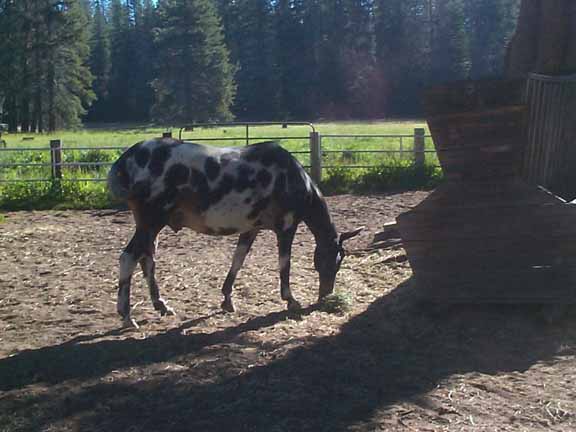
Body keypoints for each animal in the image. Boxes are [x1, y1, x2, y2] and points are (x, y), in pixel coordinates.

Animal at [108, 138, 363, 328]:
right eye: (334, 262)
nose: (325, 297)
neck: (293, 178)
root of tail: (127, 159)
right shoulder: (286, 227)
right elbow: (285, 265)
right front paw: (290, 299)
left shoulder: (251, 229)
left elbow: (238, 260)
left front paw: (227, 300)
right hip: (151, 222)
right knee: (129, 258)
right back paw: (127, 316)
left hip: (151, 225)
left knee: (147, 259)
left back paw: (161, 305)